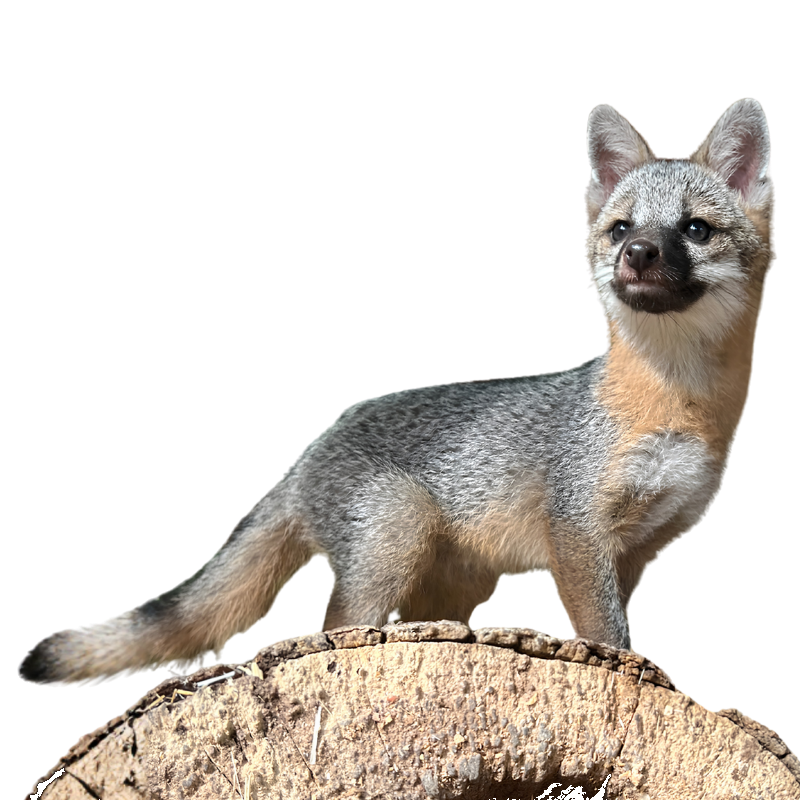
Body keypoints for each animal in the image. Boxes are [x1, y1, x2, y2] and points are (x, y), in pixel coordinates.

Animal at [19, 99, 775, 687]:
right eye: (622, 229)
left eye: (694, 229)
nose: (637, 255)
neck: (674, 410)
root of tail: (318, 439)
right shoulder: (578, 531)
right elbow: (606, 634)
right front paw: (630, 670)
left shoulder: (639, 548)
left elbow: (618, 624)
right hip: (397, 537)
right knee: (324, 628)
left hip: (452, 585)